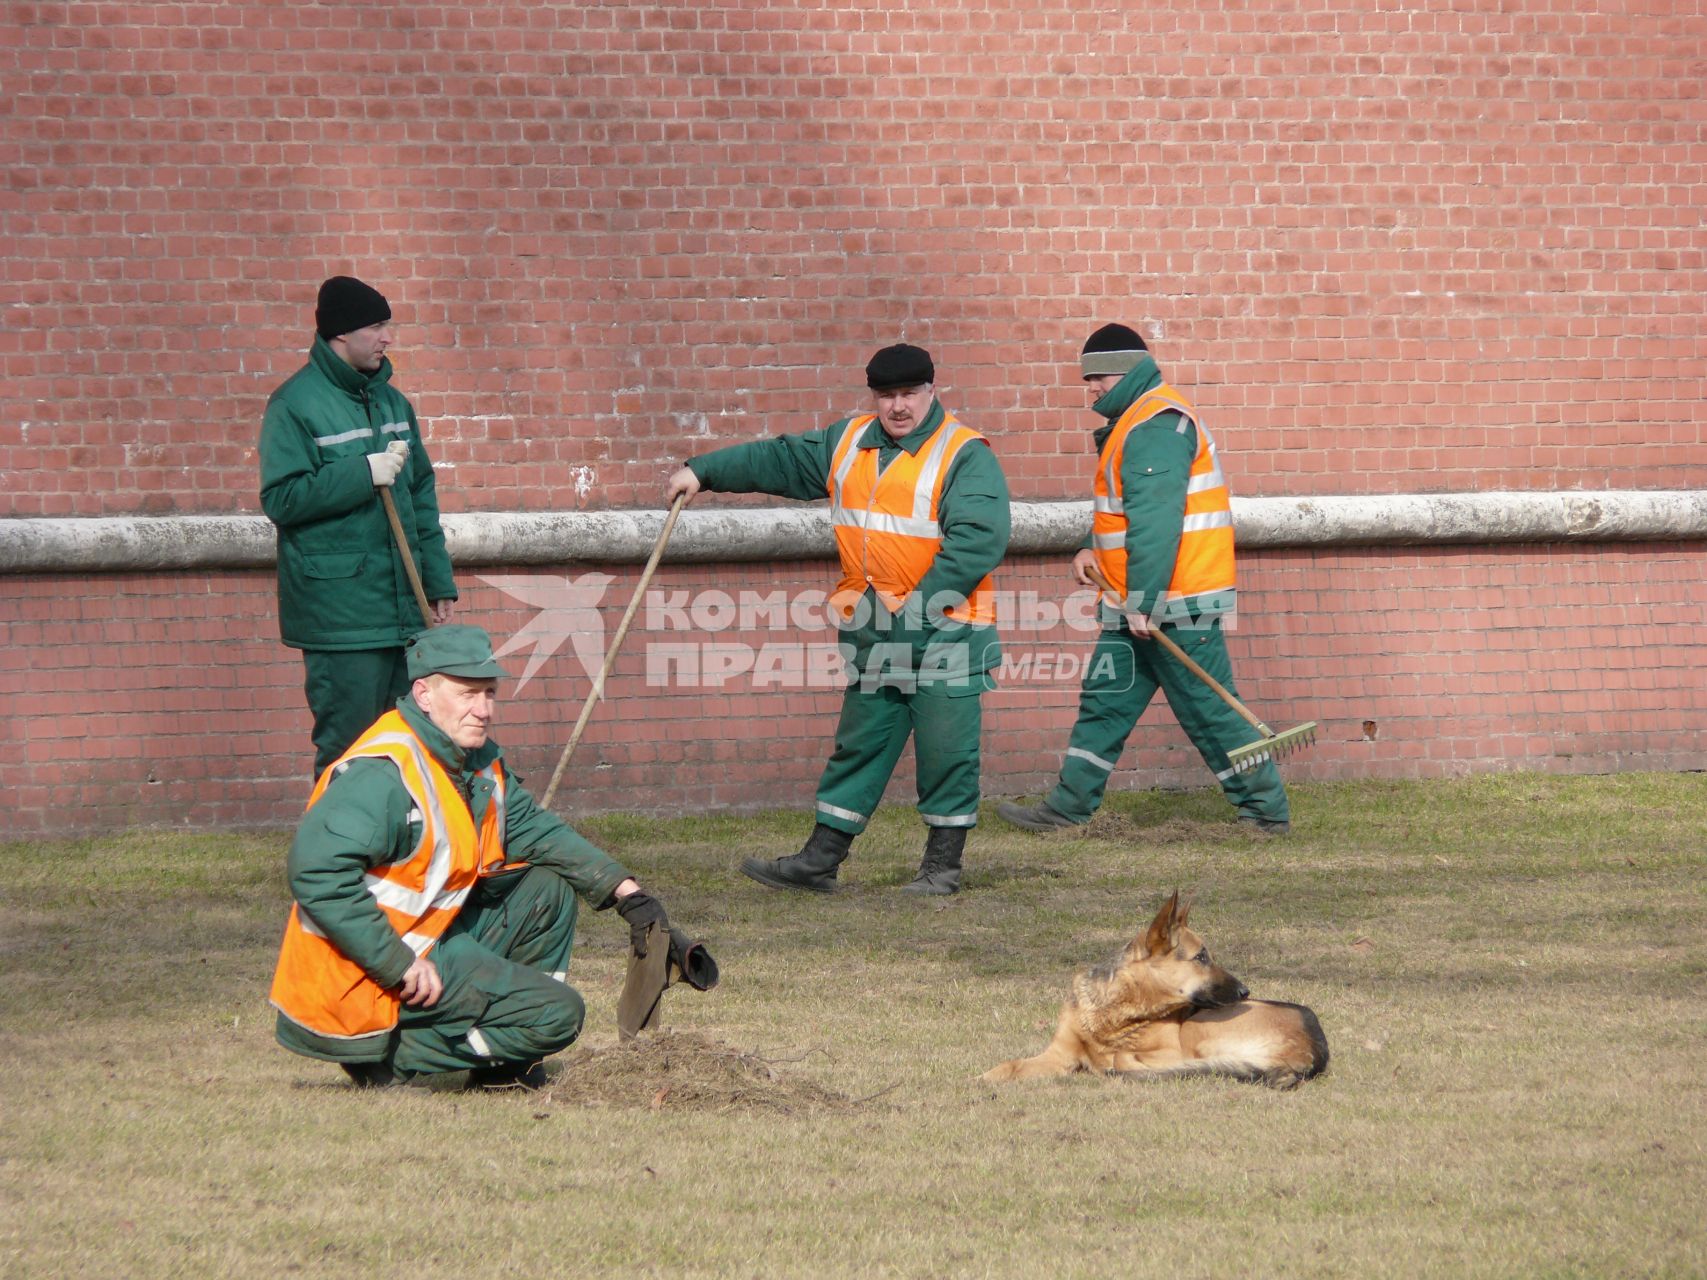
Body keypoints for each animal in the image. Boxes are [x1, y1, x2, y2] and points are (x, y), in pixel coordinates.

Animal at [983, 894, 1324, 1092]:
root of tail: (1314, 1051)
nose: (1245, 990)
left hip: (1196, 1034)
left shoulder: (1170, 1051)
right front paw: (982, 1080)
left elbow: (1121, 1054)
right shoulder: (1057, 1056)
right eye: (1201, 957)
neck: (1113, 1013)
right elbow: (1010, 1065)